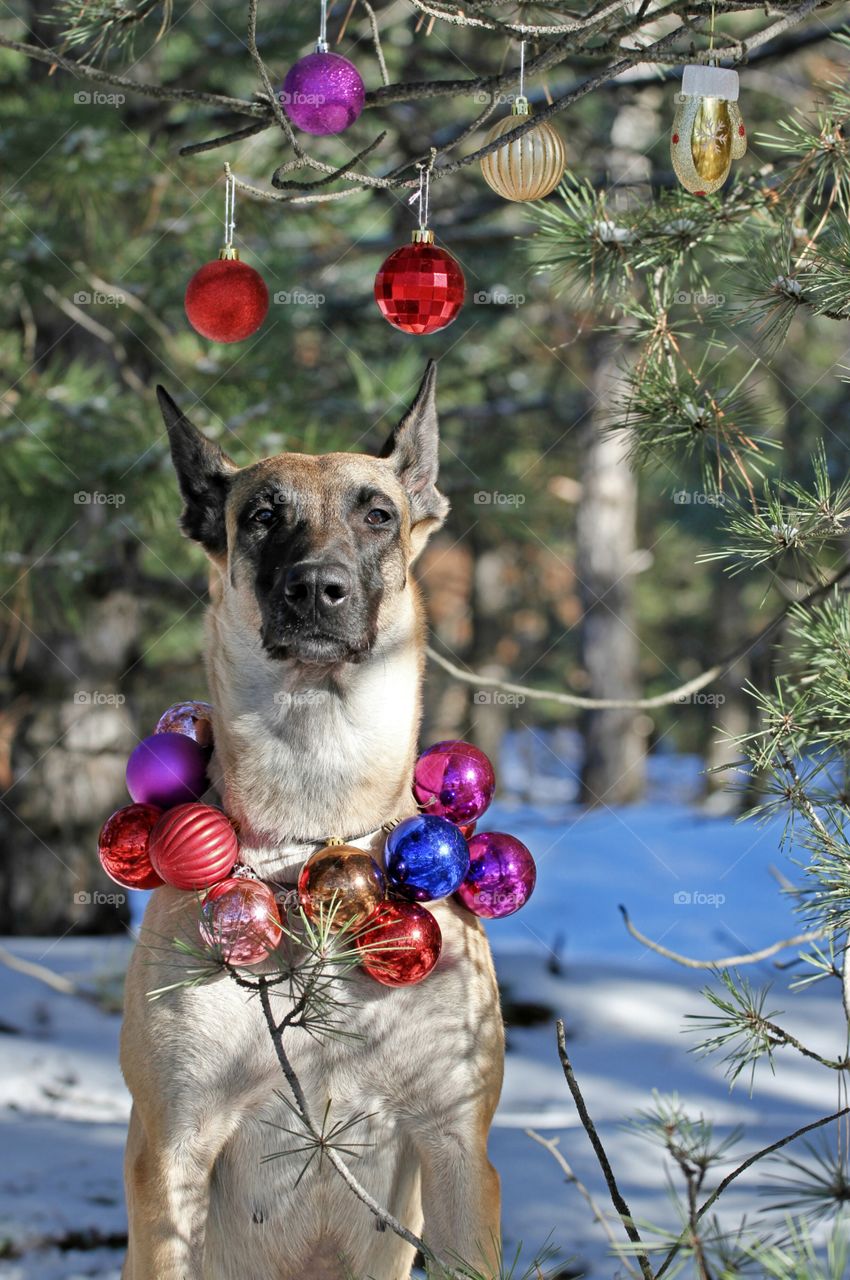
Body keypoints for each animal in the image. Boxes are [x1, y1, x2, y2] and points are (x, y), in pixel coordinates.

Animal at [119, 360, 504, 1280]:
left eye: (378, 513)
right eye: (262, 516)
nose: (316, 590)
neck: (310, 844)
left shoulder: (457, 1154)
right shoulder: (173, 1152)